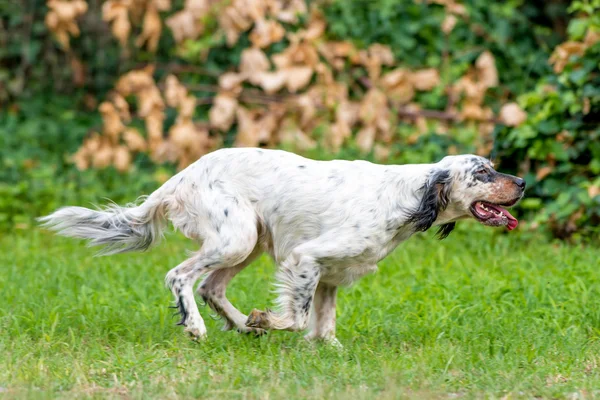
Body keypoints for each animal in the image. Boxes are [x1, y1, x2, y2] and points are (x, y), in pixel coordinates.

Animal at [38, 148, 524, 346]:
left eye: (494, 168)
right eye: (483, 173)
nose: (521, 182)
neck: (406, 196)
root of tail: (180, 178)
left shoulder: (331, 275)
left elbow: (324, 325)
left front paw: (327, 349)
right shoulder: (306, 258)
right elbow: (297, 317)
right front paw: (267, 319)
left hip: (249, 241)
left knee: (212, 287)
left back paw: (241, 326)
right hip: (237, 239)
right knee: (180, 277)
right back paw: (199, 327)